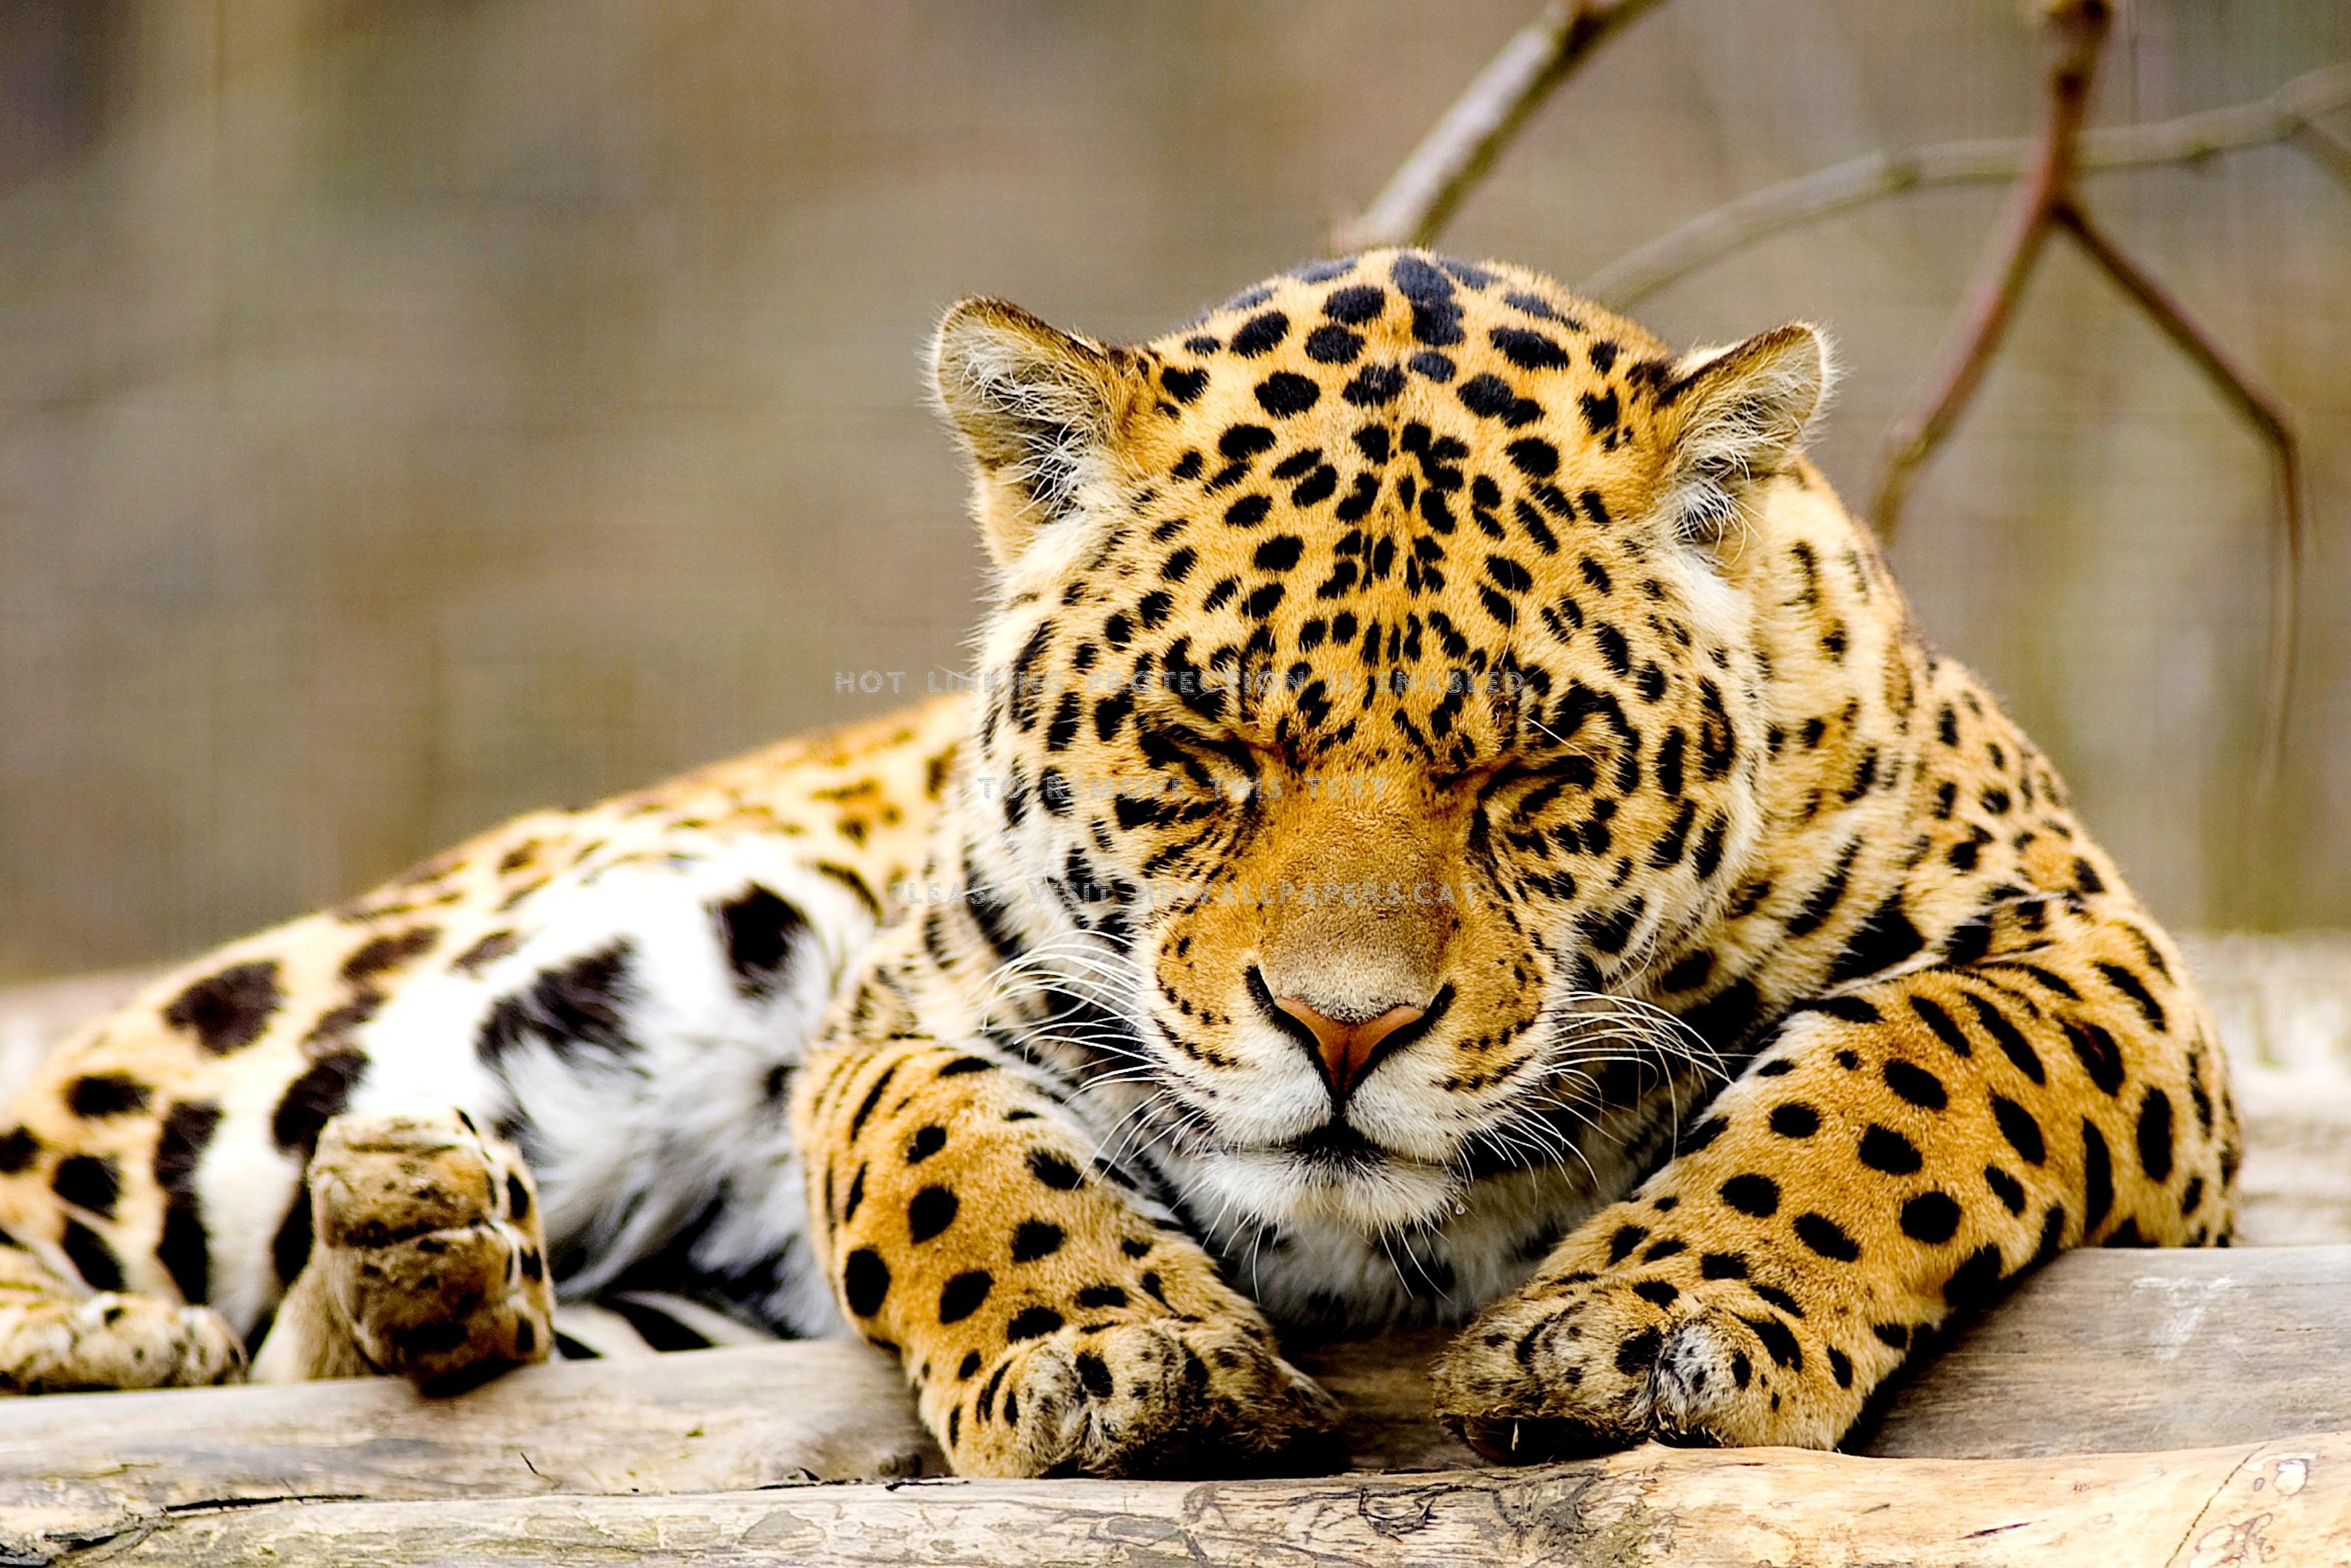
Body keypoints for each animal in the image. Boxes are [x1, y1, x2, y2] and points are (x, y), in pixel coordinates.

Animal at [0, 250, 2237, 1477]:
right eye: (1202, 749)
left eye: (1527, 772)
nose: (1343, 1036)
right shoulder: (901, 1009)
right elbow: (950, 1164)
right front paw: (1113, 1356)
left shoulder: (2094, 969)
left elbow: (1890, 1080)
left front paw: (1660, 1320)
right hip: (613, 933)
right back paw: (183, 1307)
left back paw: (422, 1266)